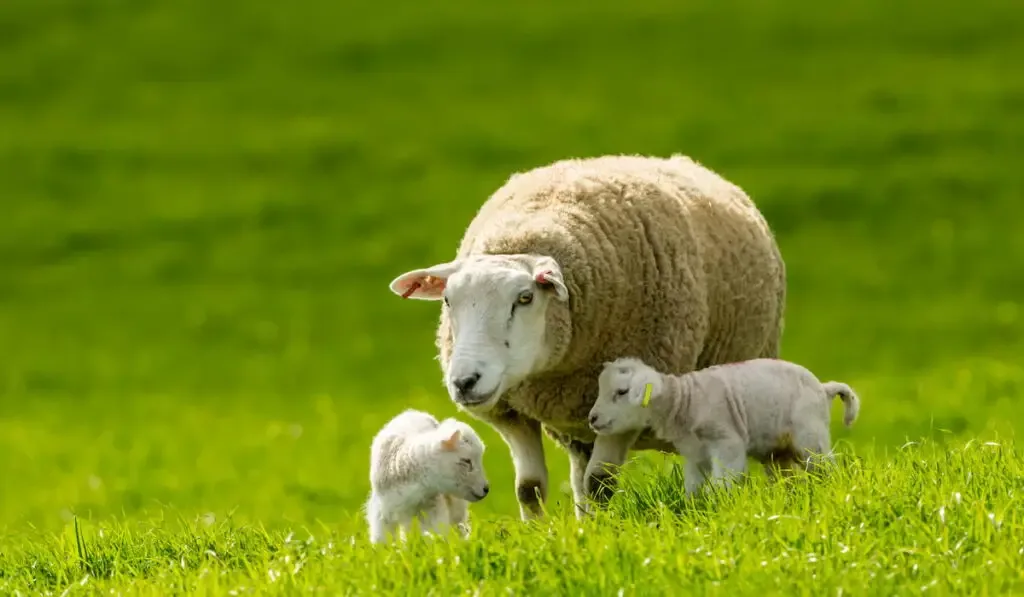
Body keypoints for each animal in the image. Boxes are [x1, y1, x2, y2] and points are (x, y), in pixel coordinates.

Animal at [387, 154, 786, 524]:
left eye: (525, 298)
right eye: (447, 300)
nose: (465, 382)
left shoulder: (626, 410)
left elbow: (601, 483)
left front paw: (600, 533)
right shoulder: (511, 413)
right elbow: (529, 488)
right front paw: (546, 535)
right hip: (584, 426)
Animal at [589, 358, 860, 493]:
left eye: (622, 392)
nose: (592, 418)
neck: (685, 401)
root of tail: (824, 389)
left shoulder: (727, 442)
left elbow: (723, 483)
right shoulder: (695, 454)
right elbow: (693, 488)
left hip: (811, 438)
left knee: (827, 469)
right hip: (778, 451)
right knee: (787, 478)